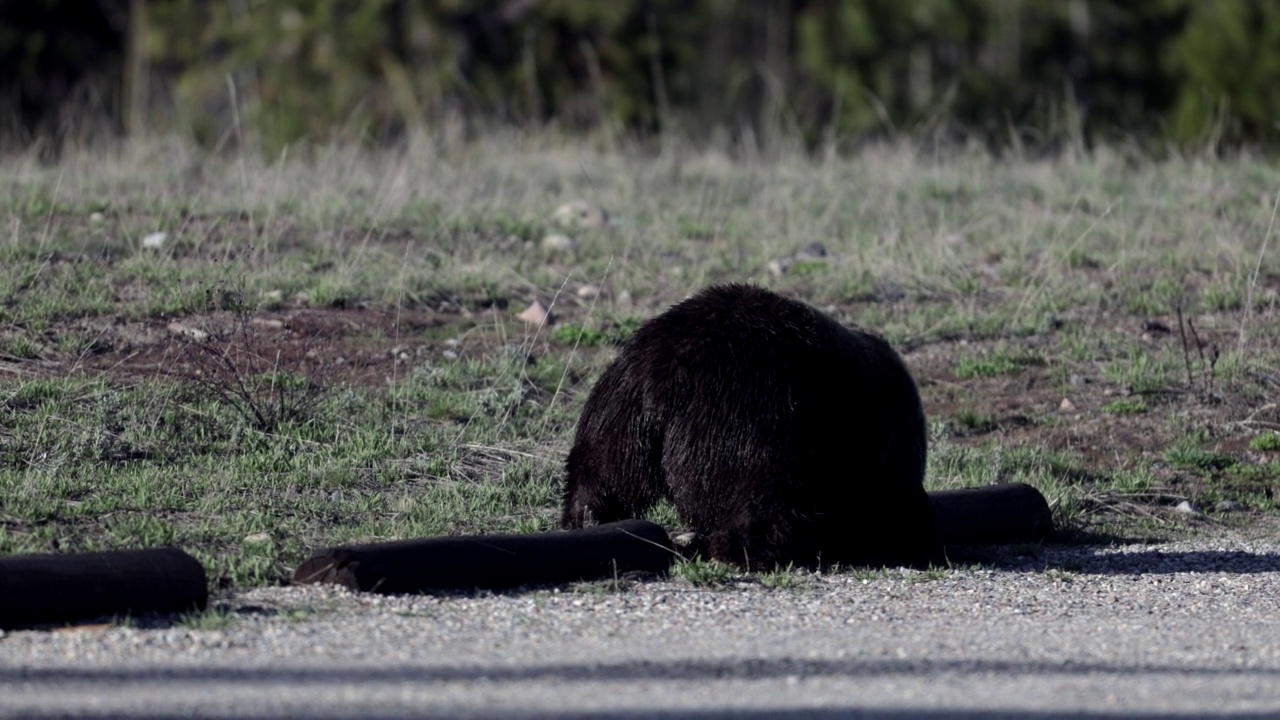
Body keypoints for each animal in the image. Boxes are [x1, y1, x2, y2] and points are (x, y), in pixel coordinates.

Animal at [560, 280, 942, 566]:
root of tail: (670, 371)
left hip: (624, 402)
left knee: (604, 466)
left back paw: (588, 517)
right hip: (757, 414)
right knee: (763, 494)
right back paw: (747, 549)